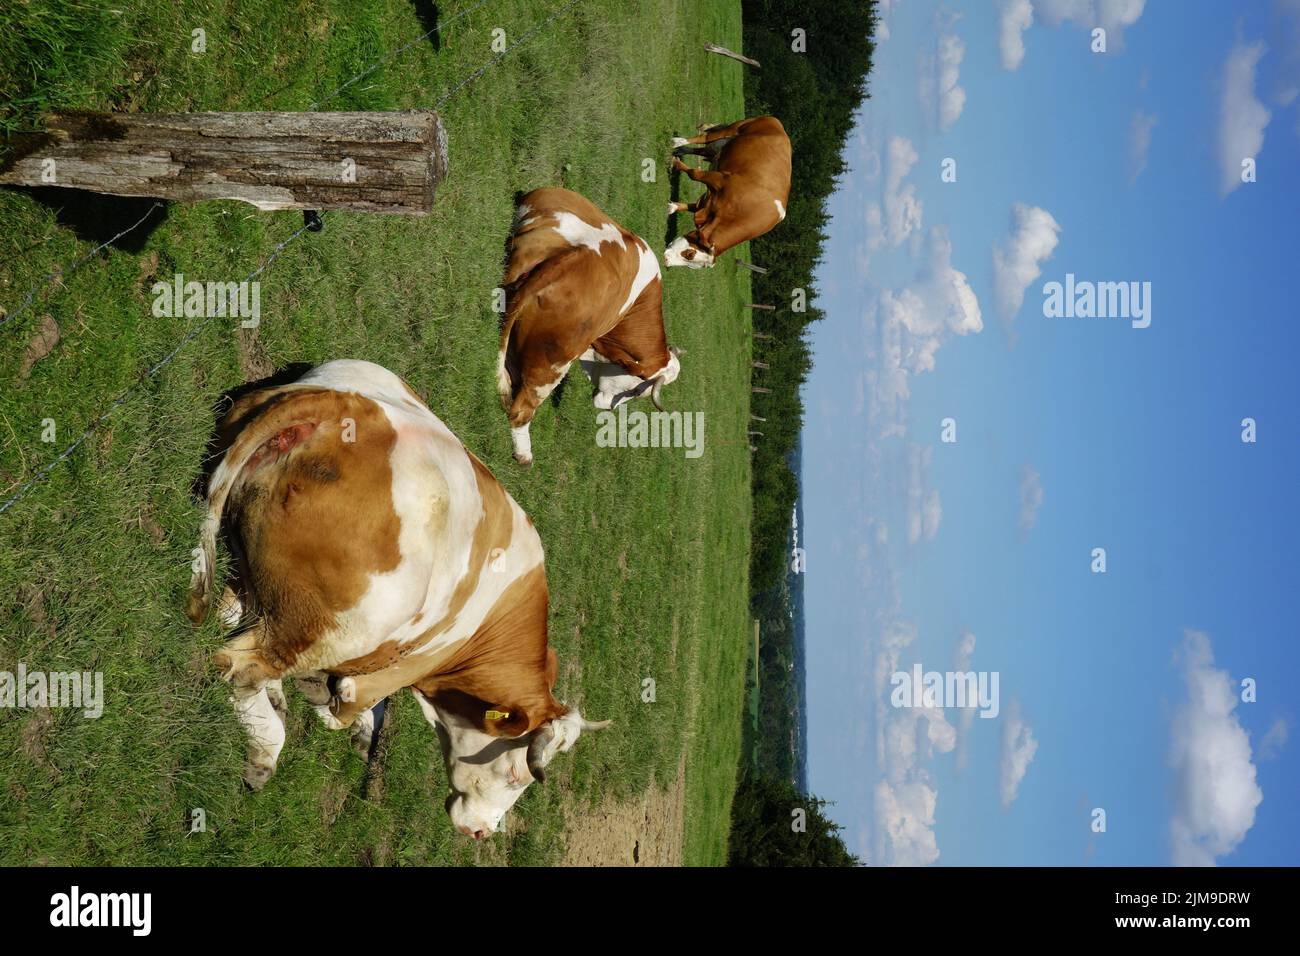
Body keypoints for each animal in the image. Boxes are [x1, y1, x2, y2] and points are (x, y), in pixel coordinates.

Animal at [187, 359, 609, 839]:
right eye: (516, 773)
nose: (483, 832)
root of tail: (349, 408)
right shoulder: (396, 668)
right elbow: (350, 704)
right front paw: (333, 713)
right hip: (345, 627)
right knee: (239, 665)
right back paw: (266, 747)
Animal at [497, 187, 682, 466]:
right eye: (636, 390)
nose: (608, 408)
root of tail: (578, 257)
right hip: (551, 365)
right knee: (521, 410)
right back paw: (524, 453)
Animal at [664, 115, 791, 269]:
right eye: (690, 254)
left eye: (690, 258)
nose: (665, 261)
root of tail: (778, 124)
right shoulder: (721, 179)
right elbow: (694, 174)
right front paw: (675, 163)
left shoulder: (708, 202)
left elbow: (692, 206)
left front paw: (671, 207)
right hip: (733, 129)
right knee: (703, 137)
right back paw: (677, 142)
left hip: (720, 146)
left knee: (701, 150)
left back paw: (680, 149)